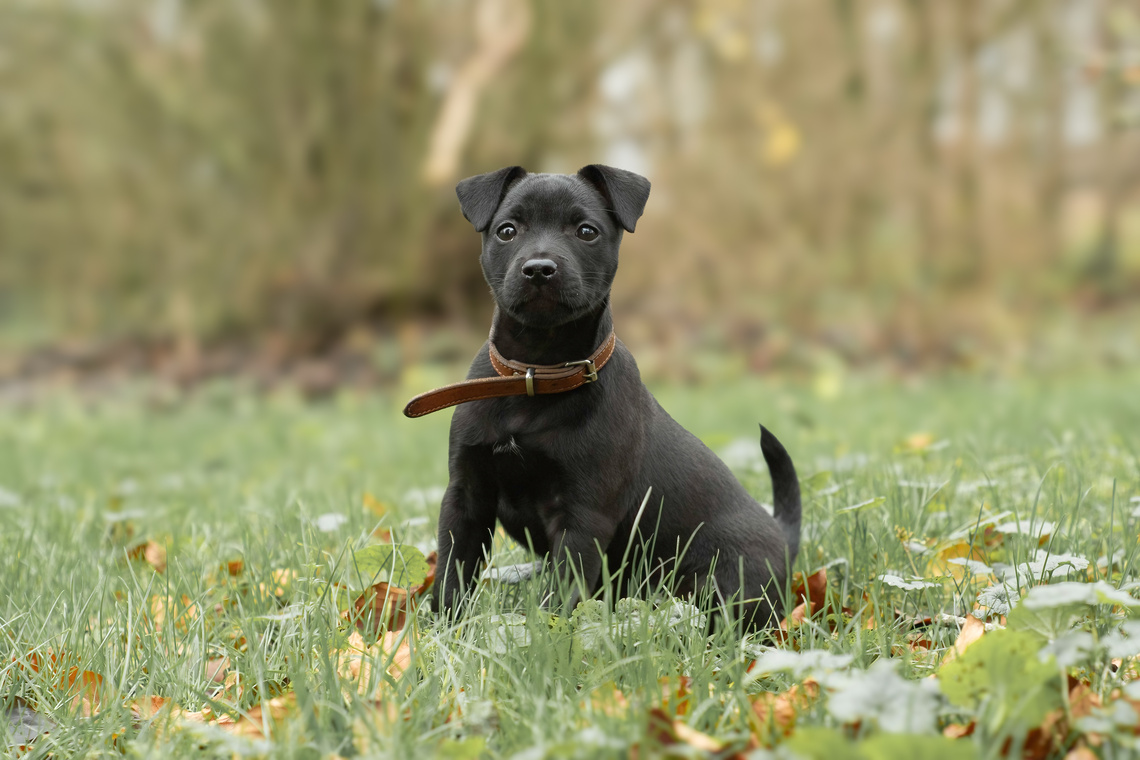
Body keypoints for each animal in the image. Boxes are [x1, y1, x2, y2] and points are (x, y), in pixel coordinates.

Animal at [412, 167, 802, 638]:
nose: (539, 269)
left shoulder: (583, 515)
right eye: (507, 230)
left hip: (724, 583)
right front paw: (443, 632)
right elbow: (453, 571)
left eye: (586, 231)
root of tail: (781, 538)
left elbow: (559, 594)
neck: (536, 374)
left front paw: (544, 640)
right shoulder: (465, 497)